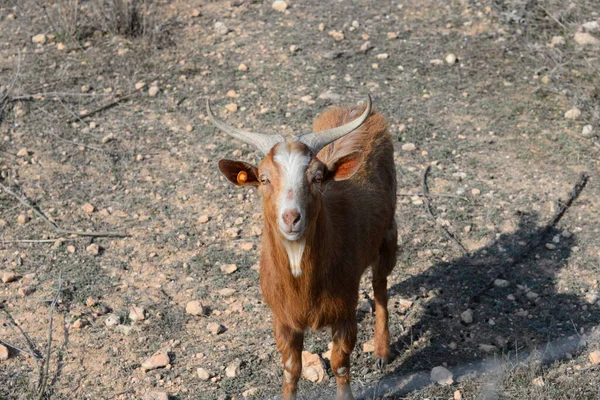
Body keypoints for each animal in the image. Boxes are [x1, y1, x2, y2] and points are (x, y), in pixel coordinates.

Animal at [207, 95, 398, 398]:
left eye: (317, 177)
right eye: (263, 178)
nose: (291, 218)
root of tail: (355, 107)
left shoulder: (344, 310)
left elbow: (340, 364)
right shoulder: (282, 319)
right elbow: (291, 370)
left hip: (387, 234)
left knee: (380, 286)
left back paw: (381, 351)